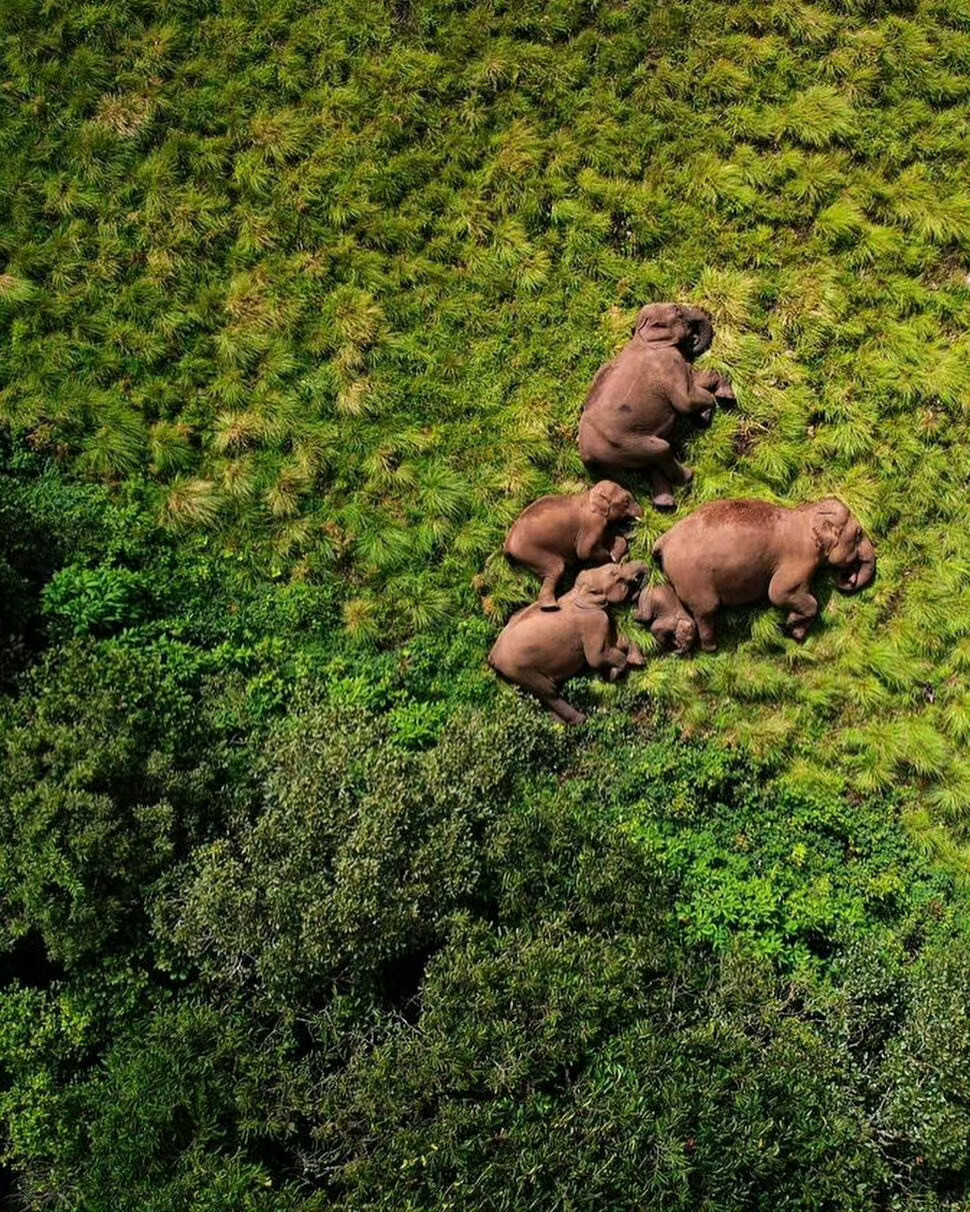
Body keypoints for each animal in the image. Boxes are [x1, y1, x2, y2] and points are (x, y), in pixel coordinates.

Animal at [488, 561, 648, 725]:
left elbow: (616, 641)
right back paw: (581, 719)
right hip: (519, 669)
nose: (644, 567)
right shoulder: (593, 621)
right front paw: (615, 674)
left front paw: (638, 661)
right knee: (548, 692)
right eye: (614, 574)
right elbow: (596, 658)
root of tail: (492, 656)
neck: (576, 592)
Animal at [504, 480, 644, 610]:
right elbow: (584, 552)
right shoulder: (592, 524)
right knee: (557, 568)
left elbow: (611, 539)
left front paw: (617, 555)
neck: (589, 494)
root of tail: (507, 544)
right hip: (529, 550)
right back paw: (551, 606)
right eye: (626, 501)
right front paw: (612, 560)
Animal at [578, 302, 736, 510]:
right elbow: (685, 400)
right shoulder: (669, 362)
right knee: (661, 449)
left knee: (651, 462)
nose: (693, 340)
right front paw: (714, 405)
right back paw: (688, 476)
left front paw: (715, 402)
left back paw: (664, 504)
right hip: (621, 445)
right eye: (678, 311)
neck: (642, 336)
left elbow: (696, 380)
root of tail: (586, 456)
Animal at [652, 498, 876, 651]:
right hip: (692, 578)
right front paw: (792, 624)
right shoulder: (801, 558)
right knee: (706, 609)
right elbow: (778, 593)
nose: (849, 578)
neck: (808, 514)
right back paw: (711, 647)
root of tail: (664, 540)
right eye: (858, 534)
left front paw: (796, 631)